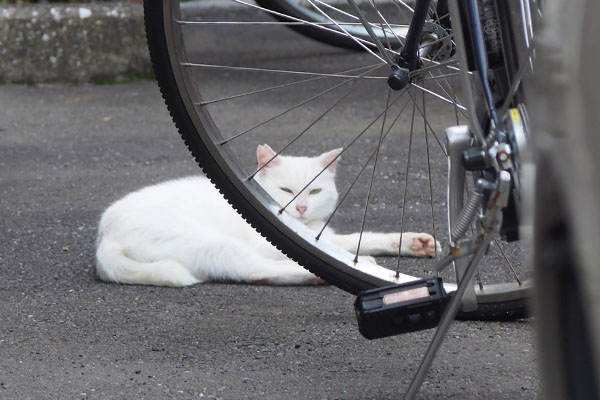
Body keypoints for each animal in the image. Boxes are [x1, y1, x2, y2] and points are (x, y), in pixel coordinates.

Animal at [95, 145, 440, 286]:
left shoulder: (320, 235)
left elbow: (360, 239)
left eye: (315, 191)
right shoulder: (272, 240)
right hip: (213, 242)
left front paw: (414, 243)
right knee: (256, 269)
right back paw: (321, 274)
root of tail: (105, 237)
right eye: (286, 190)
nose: (300, 208)